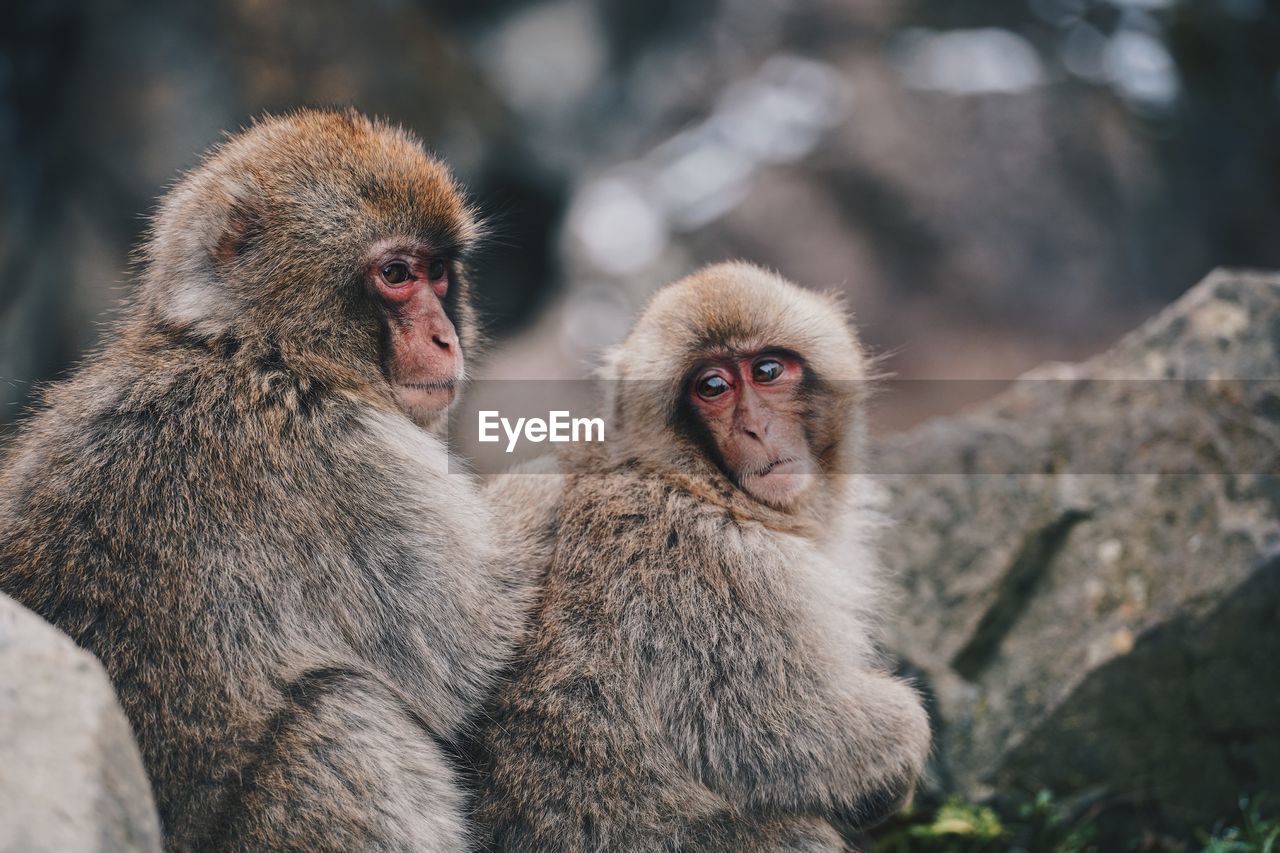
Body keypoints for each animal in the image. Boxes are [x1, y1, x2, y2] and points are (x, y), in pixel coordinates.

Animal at [0, 109, 532, 845]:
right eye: (397, 274)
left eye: (439, 274)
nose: (444, 338)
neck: (253, 350)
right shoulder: (344, 463)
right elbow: (473, 643)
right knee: (341, 714)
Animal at [471, 262, 931, 845]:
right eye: (712, 387)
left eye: (767, 371)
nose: (756, 428)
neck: (698, 483)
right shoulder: (707, 565)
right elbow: (767, 731)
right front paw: (904, 747)